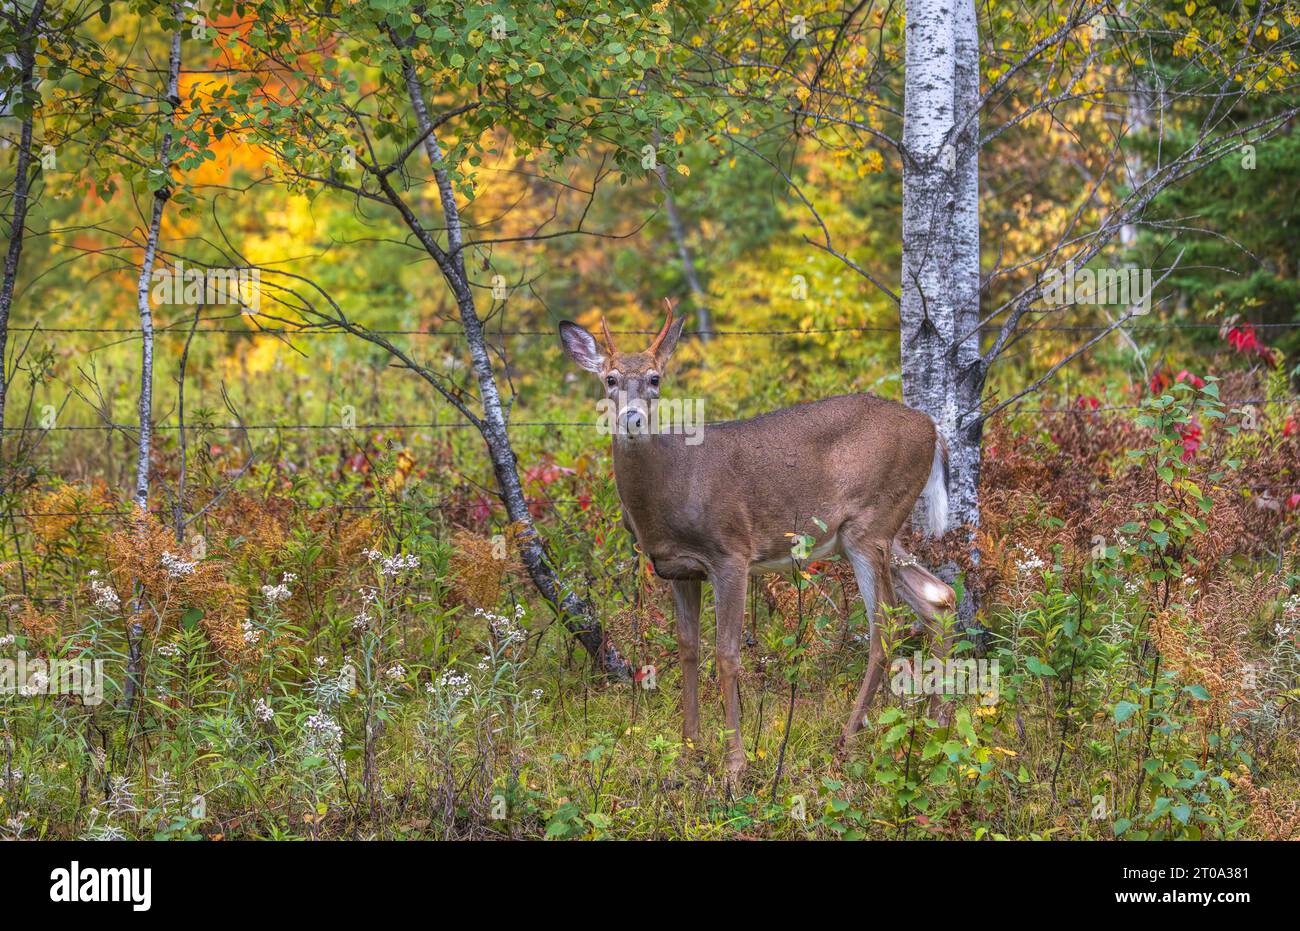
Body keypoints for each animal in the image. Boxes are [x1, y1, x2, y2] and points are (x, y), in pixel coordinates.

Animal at [559, 309, 956, 780]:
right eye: (610, 379)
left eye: (655, 378)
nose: (632, 419)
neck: (670, 488)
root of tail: (932, 428)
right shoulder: (679, 569)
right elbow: (688, 649)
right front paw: (689, 749)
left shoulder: (730, 552)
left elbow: (727, 654)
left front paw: (734, 763)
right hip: (869, 535)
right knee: (939, 596)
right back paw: (936, 725)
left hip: (871, 524)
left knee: (886, 627)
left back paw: (848, 740)